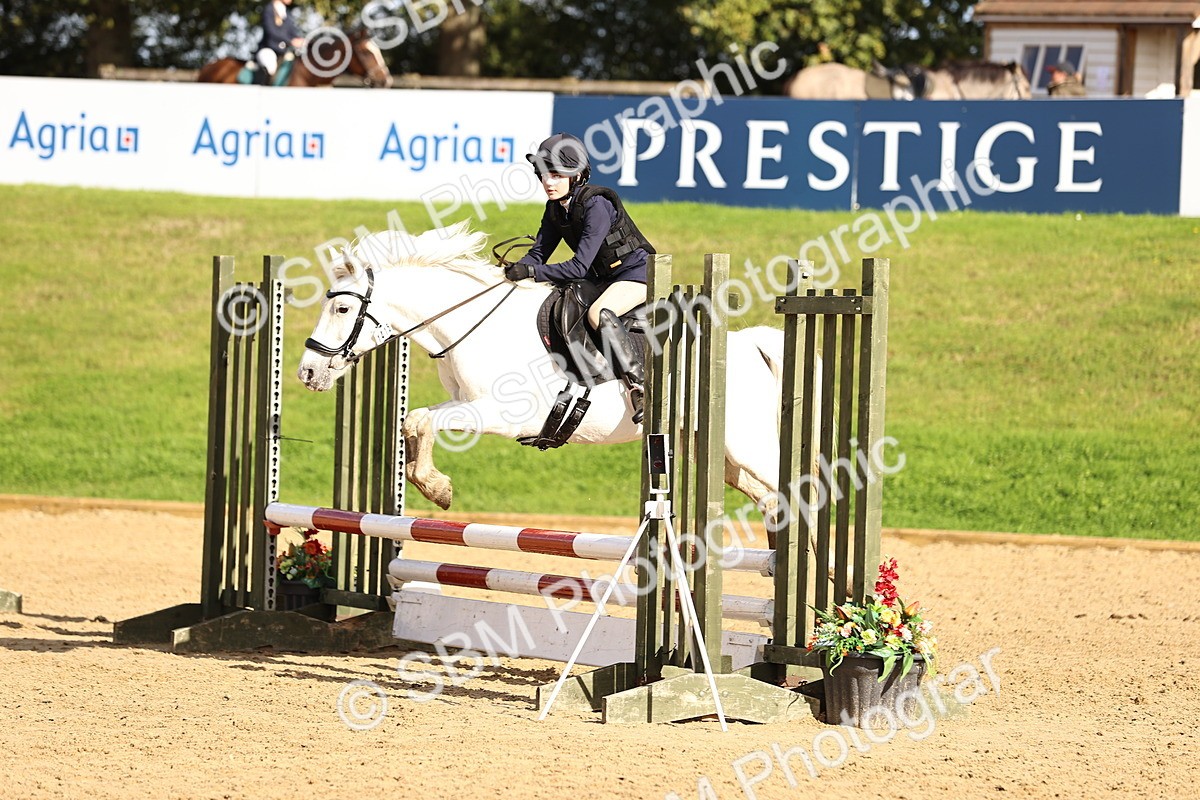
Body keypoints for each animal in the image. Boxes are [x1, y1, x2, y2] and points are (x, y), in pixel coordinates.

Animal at [295, 222, 799, 547]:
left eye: (342, 309)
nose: (307, 372)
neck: (473, 326)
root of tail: (749, 345)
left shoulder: (503, 414)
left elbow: (420, 421)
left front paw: (436, 487)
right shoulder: (462, 403)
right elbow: (416, 420)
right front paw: (436, 487)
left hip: (746, 443)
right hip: (715, 451)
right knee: (769, 500)